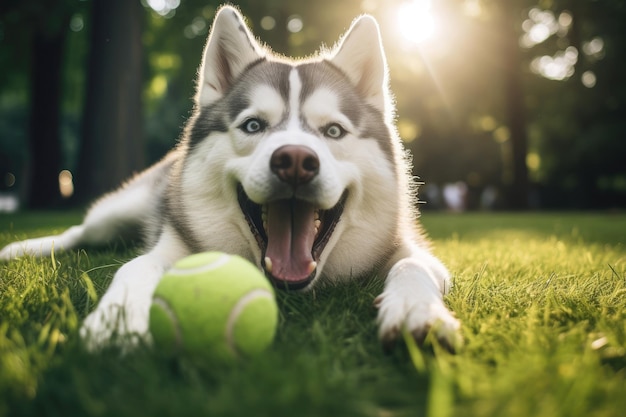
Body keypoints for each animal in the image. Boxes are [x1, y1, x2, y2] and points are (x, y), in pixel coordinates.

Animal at [0, 5, 458, 352]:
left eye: (333, 131)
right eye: (253, 125)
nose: (295, 160)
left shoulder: (410, 250)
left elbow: (414, 266)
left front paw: (416, 309)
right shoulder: (173, 245)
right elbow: (133, 267)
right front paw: (119, 321)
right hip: (119, 212)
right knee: (79, 232)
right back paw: (22, 249)